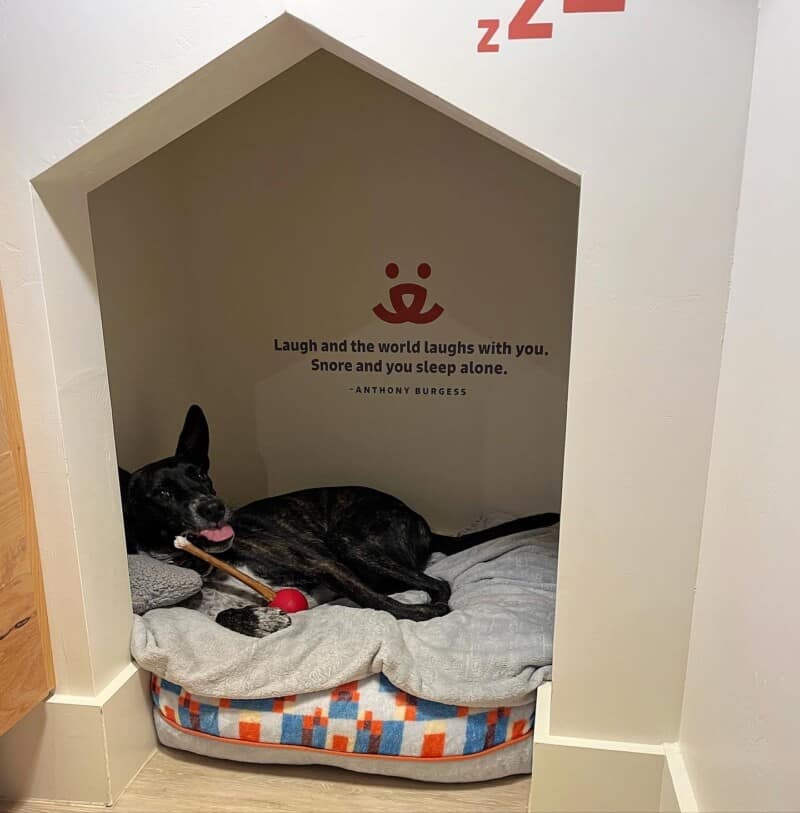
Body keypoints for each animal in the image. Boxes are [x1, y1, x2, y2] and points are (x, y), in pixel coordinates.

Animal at [122, 406, 560, 636]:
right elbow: (224, 615)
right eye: (161, 494)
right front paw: (256, 617)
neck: (205, 566)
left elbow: (379, 604)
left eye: (199, 474)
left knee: (435, 584)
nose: (214, 507)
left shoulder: (322, 563)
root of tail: (416, 516)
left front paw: (420, 615)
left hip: (352, 541)